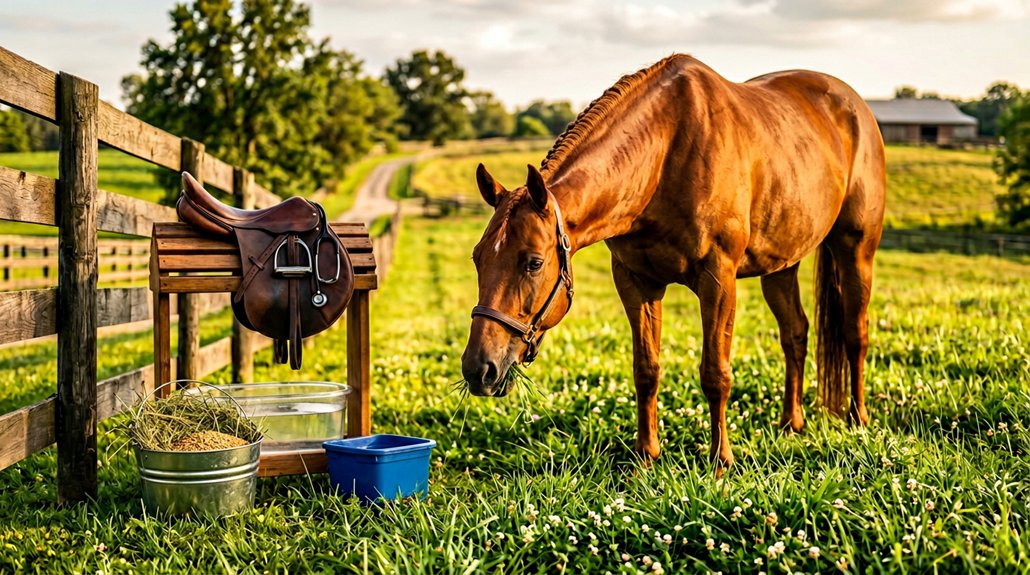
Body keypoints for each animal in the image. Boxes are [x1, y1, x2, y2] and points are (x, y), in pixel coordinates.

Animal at [461, 54, 885, 470]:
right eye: (477, 259)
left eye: (533, 262)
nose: (478, 368)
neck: (664, 155)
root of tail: (856, 107)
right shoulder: (636, 281)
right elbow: (646, 370)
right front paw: (646, 457)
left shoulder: (718, 280)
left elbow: (715, 373)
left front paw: (720, 461)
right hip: (781, 266)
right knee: (795, 333)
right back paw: (791, 423)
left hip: (856, 251)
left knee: (855, 333)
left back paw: (858, 419)